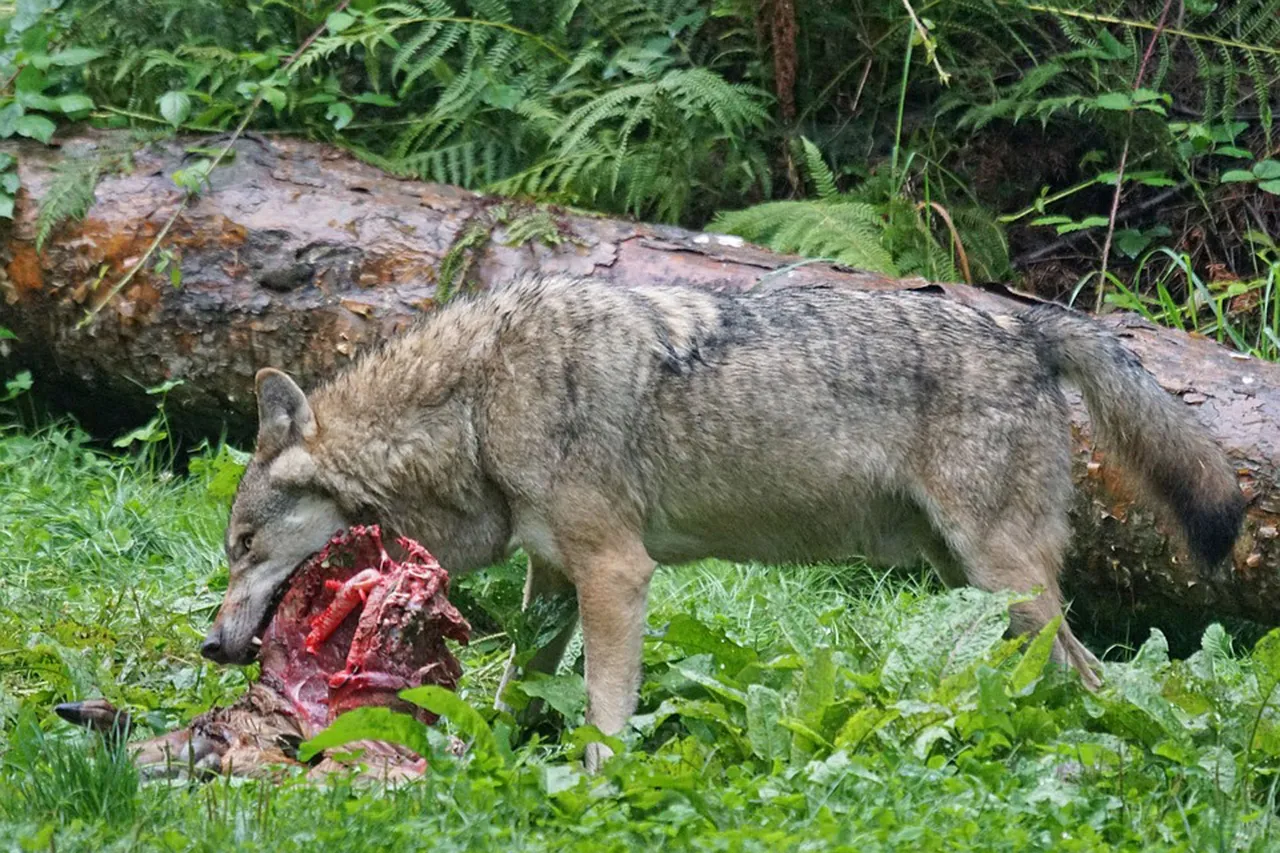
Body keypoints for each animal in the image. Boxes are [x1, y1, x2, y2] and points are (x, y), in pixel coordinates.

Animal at [201, 274, 1244, 769]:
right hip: (976, 585)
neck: (477, 401)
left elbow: (604, 712)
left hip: (1005, 580)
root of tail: (1029, 326)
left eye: (244, 546)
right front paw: (484, 755)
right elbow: (515, 689)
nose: (210, 644)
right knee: (1077, 674)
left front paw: (598, 784)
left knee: (1096, 679)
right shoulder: (555, 579)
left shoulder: (618, 573)